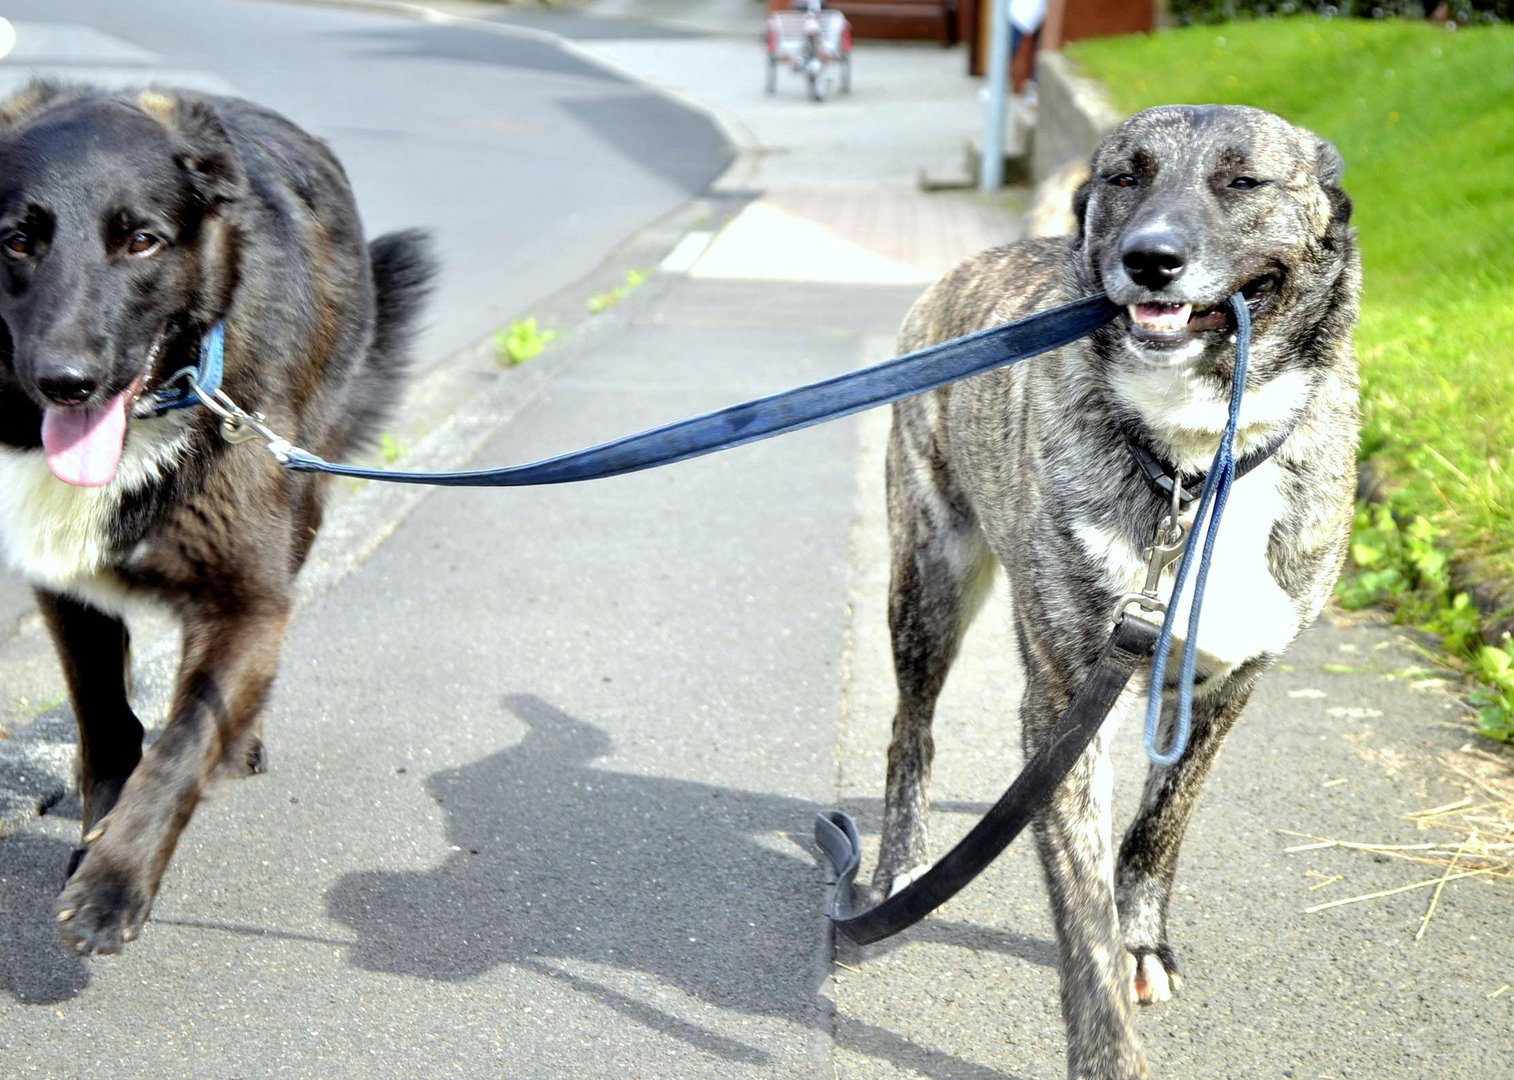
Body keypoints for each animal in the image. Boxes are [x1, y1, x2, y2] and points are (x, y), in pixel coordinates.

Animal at [0, 86, 436, 963]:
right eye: (16, 241)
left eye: (141, 241)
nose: (65, 382)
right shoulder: (69, 588)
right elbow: (109, 723)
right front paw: (98, 839)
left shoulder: (249, 602)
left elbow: (182, 743)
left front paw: (114, 884)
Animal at [878, 107, 1362, 1078]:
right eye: (1125, 177)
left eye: (1244, 182)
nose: (1151, 259)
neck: (1199, 462)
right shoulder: (1065, 703)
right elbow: (1083, 917)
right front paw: (1107, 1042)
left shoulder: (1225, 686)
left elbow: (1159, 828)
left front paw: (1144, 938)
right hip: (929, 583)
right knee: (911, 732)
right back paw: (900, 866)